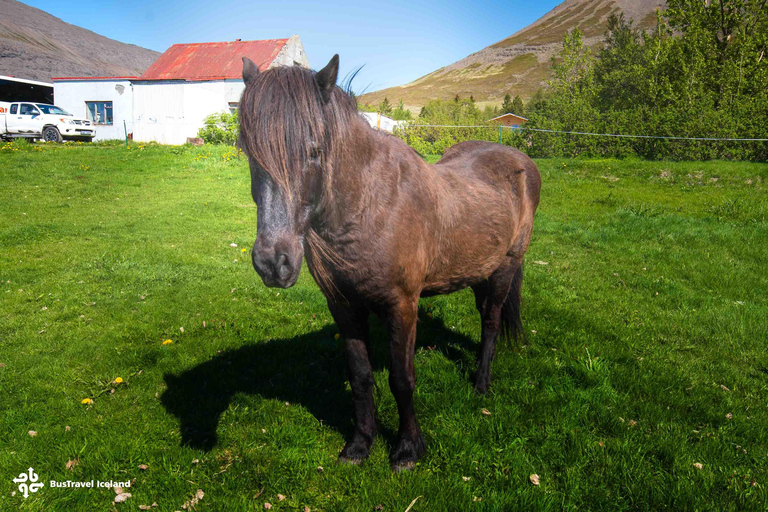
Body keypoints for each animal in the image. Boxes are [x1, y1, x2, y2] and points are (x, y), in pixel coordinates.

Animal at [238, 54, 541, 471]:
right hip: (479, 269)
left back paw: (481, 384)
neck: (372, 206)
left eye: (314, 151)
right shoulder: (344, 307)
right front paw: (359, 445)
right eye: (248, 152)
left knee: (491, 323)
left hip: (504, 270)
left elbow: (402, 378)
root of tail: (521, 160)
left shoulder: (402, 305)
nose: (273, 262)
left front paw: (408, 450)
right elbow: (360, 376)